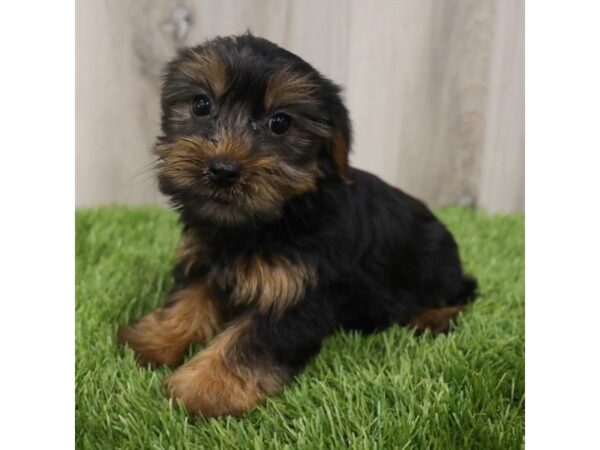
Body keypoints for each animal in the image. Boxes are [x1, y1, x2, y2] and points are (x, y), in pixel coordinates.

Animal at [119, 34, 478, 418]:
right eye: (201, 105)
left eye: (280, 123)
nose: (223, 170)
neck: (263, 223)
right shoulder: (207, 260)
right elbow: (189, 300)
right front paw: (156, 338)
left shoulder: (298, 292)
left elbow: (250, 341)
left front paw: (203, 387)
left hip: (435, 266)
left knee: (463, 292)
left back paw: (432, 318)